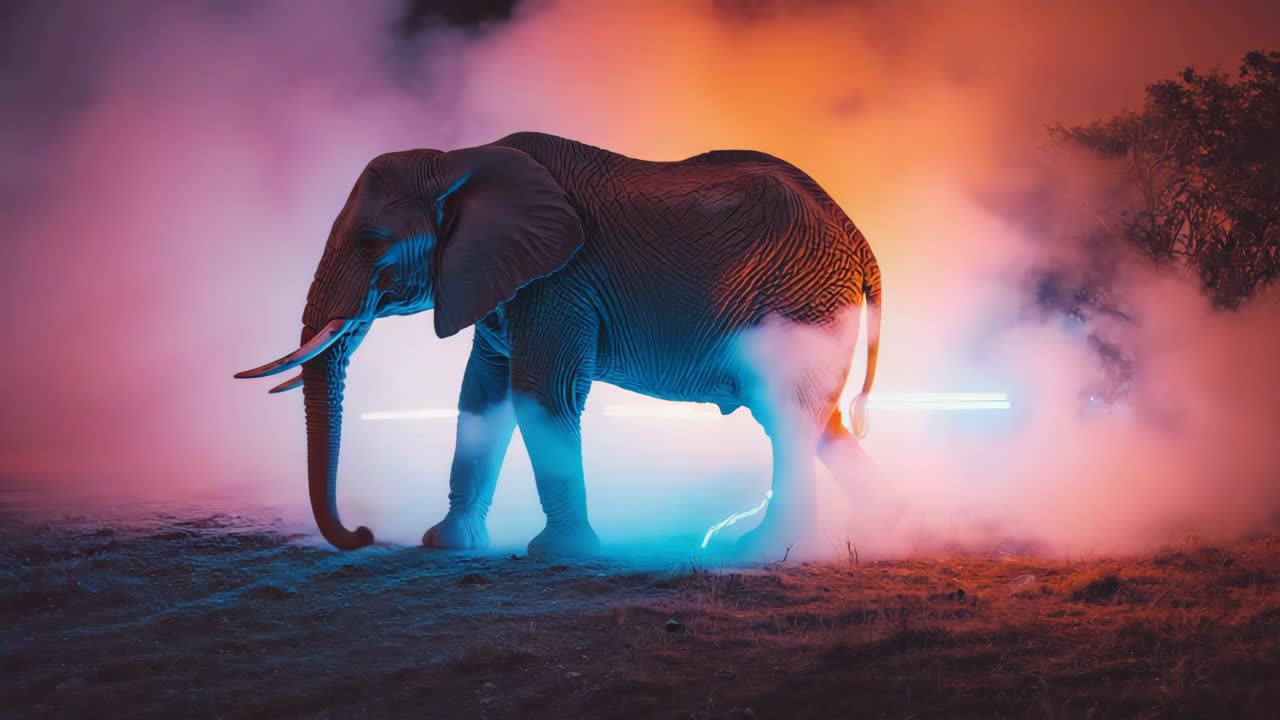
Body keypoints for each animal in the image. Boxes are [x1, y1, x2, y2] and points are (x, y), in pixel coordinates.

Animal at [235, 131, 882, 558]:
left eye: (372, 243)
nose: (363, 534)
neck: (456, 161)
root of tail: (858, 238)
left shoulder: (561, 281)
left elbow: (540, 394)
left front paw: (559, 554)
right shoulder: (506, 284)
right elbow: (481, 398)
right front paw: (446, 545)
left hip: (801, 304)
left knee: (787, 420)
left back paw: (762, 551)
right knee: (821, 424)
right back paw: (890, 526)